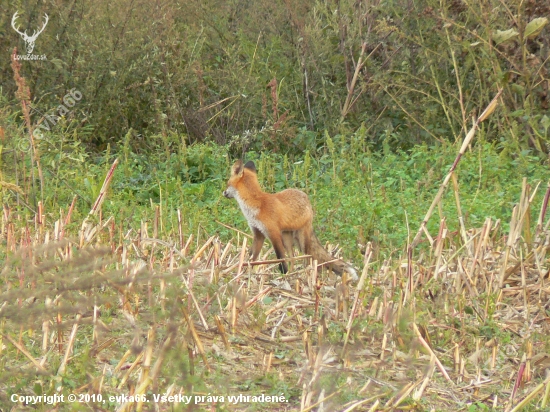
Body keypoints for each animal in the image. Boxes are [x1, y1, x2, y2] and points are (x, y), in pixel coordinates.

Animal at [222, 160, 360, 280]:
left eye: (227, 184)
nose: (223, 193)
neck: (256, 205)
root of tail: (306, 198)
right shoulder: (258, 234)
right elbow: (252, 257)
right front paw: (246, 272)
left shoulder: (274, 234)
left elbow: (280, 259)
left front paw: (283, 276)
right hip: (287, 239)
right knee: (293, 258)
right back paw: (293, 273)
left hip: (301, 240)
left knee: (308, 257)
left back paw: (304, 274)